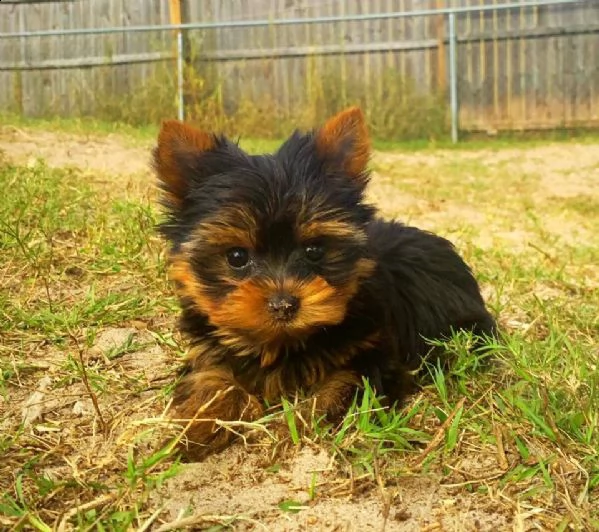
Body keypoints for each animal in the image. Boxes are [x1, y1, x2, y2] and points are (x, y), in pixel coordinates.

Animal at [155, 106, 496, 460]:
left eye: (315, 250)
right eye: (237, 256)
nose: (283, 305)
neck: (283, 343)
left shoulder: (373, 355)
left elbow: (345, 386)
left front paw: (296, 425)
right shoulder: (207, 352)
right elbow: (210, 377)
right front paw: (198, 426)